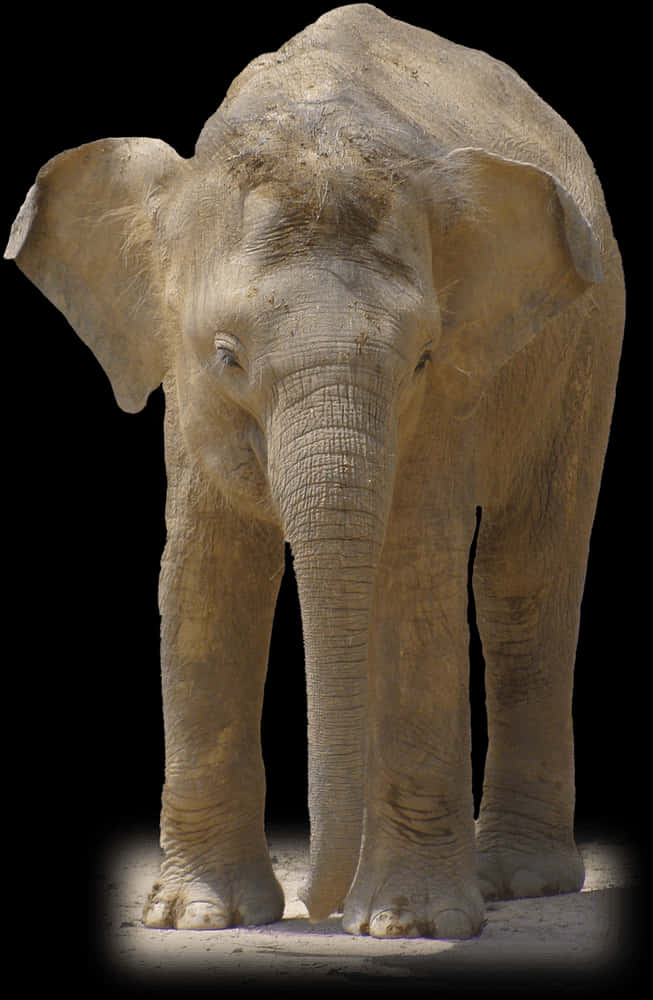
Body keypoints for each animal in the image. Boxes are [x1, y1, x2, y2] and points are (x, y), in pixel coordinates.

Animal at [6, 4, 624, 939]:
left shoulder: (452, 391)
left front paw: (406, 925)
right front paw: (198, 917)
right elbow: (203, 572)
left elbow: (415, 568)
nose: (315, 906)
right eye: (225, 355)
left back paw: (515, 882)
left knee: (523, 578)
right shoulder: (188, 395)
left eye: (421, 358)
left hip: (590, 334)